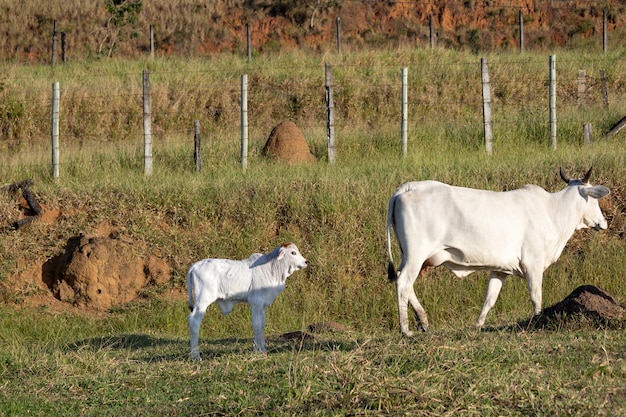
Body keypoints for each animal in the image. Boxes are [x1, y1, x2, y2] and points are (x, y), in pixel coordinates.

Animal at [386, 167, 608, 334]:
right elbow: (536, 296)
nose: (603, 222)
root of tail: (408, 187)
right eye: (594, 199)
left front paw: (478, 325)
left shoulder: (500, 269)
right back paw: (405, 329)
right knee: (403, 283)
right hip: (416, 255)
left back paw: (423, 321)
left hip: (409, 256)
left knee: (401, 281)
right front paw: (538, 321)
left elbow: (489, 299)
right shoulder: (533, 263)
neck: (553, 211)